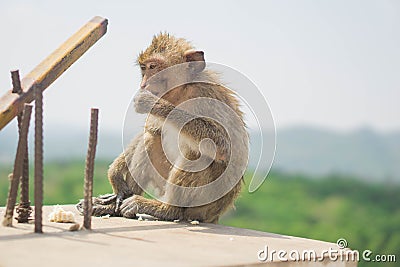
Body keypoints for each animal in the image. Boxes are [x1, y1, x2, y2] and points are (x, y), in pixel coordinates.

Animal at [76, 33, 248, 224]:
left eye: (154, 67)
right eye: (144, 68)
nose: (144, 84)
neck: (182, 91)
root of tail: (216, 215)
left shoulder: (205, 95)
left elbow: (222, 145)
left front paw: (152, 102)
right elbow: (151, 130)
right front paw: (115, 175)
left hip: (207, 204)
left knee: (197, 153)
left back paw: (167, 210)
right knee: (151, 138)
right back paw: (116, 204)